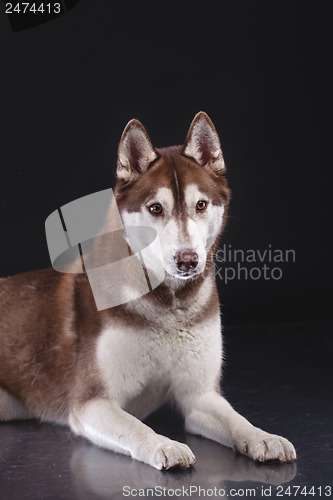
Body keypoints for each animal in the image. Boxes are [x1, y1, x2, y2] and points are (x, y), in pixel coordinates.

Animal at [0, 112, 296, 468]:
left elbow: (236, 419)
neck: (169, 307)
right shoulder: (92, 400)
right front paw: (163, 445)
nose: (187, 260)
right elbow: (133, 426)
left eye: (201, 204)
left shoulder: (199, 396)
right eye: (155, 208)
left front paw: (263, 436)